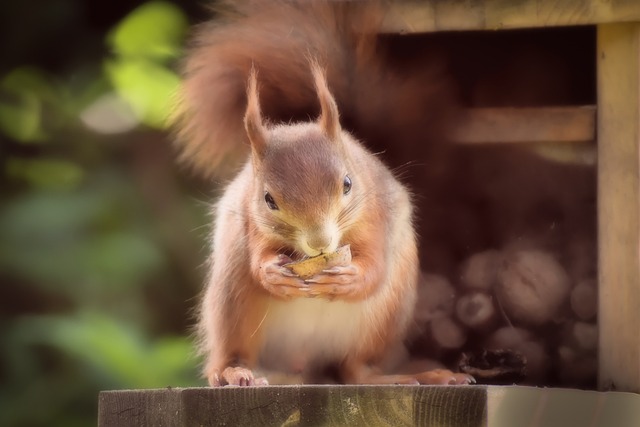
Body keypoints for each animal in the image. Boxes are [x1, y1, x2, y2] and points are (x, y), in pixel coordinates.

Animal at [174, 0, 470, 388]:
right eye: (269, 200)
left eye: (347, 183)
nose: (320, 243)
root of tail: (303, 368)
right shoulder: (250, 221)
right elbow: (259, 255)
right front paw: (270, 272)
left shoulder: (377, 214)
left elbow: (375, 265)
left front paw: (352, 276)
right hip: (232, 302)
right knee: (229, 355)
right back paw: (234, 372)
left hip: (382, 318)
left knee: (356, 371)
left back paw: (406, 377)